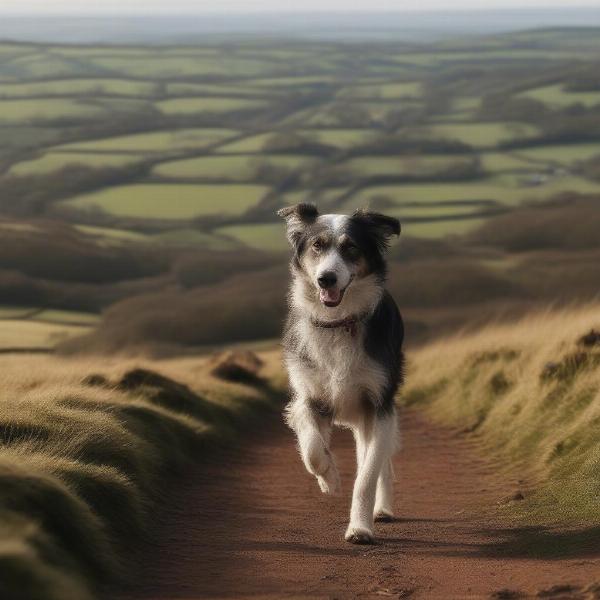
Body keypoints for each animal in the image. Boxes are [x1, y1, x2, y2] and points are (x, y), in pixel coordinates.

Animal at [278, 204, 406, 548]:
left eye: (351, 248)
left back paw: (382, 509)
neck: (338, 322)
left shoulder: (378, 404)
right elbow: (311, 448)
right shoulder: (309, 396)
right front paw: (330, 479)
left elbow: (367, 476)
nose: (326, 279)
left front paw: (360, 529)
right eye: (317, 246)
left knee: (380, 462)